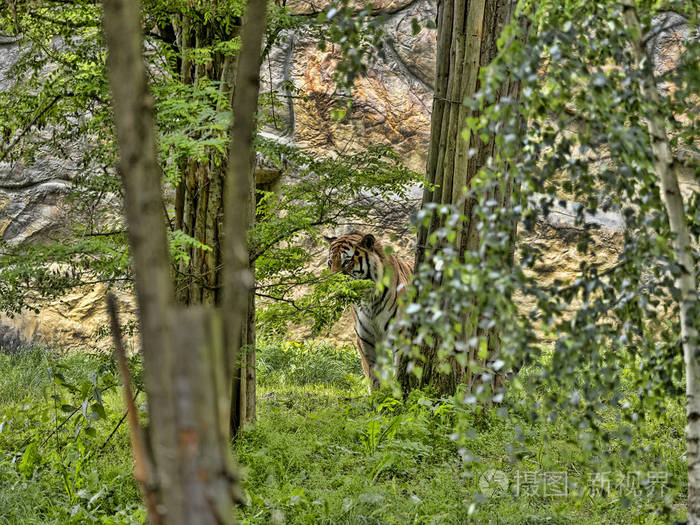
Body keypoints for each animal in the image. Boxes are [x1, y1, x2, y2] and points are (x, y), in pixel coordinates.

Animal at [326, 230, 412, 388]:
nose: (332, 285)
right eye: (330, 263)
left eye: (346, 262)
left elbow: (398, 368)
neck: (370, 299)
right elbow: (372, 372)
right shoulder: (365, 338)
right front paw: (377, 393)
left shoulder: (400, 332)